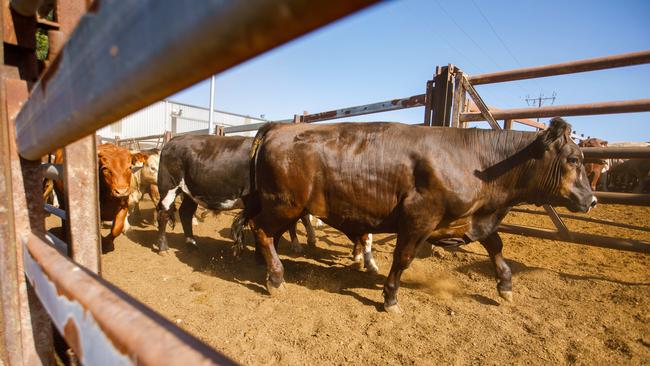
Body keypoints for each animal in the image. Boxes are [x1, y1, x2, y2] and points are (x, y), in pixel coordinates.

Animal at [235, 118, 596, 314]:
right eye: (574, 159)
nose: (592, 200)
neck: (477, 161)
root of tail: (279, 128)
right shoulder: (419, 217)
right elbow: (403, 258)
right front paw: (391, 297)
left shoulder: (470, 218)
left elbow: (496, 245)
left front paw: (505, 285)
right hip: (285, 204)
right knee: (262, 230)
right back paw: (276, 277)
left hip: (276, 204)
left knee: (258, 229)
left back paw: (263, 263)